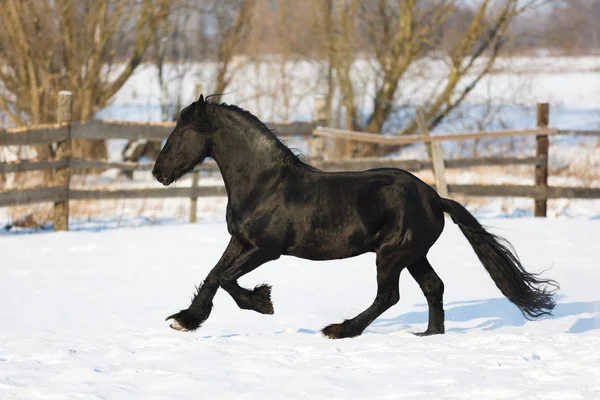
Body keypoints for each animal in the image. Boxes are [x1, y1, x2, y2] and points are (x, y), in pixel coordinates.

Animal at [151, 95, 556, 340]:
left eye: (182, 131)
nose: (158, 173)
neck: (263, 182)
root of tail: (434, 197)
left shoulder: (266, 249)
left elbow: (227, 279)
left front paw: (263, 301)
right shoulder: (241, 240)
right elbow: (214, 275)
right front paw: (184, 320)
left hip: (391, 255)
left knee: (389, 296)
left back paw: (339, 329)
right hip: (413, 255)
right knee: (433, 287)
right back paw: (429, 336)